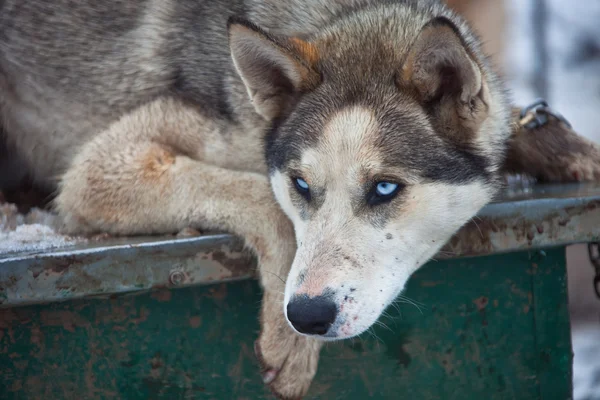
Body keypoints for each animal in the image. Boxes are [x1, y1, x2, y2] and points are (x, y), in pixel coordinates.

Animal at [1, 0, 600, 398]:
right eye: (302, 186)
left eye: (385, 188)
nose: (307, 315)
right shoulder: (102, 166)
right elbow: (264, 200)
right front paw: (288, 340)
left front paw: (560, 146)